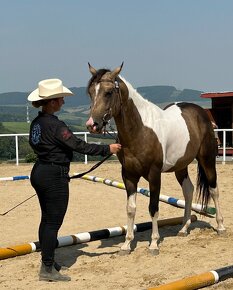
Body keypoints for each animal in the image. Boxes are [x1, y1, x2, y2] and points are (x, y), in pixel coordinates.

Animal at [85, 62, 226, 254]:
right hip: (180, 166)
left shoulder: (154, 174)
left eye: (108, 92)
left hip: (207, 160)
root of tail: (201, 113)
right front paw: (126, 244)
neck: (140, 130)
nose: (92, 125)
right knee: (188, 190)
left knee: (214, 189)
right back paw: (184, 228)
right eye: (91, 92)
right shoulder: (128, 175)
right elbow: (130, 209)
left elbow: (153, 207)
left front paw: (153, 243)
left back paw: (220, 227)